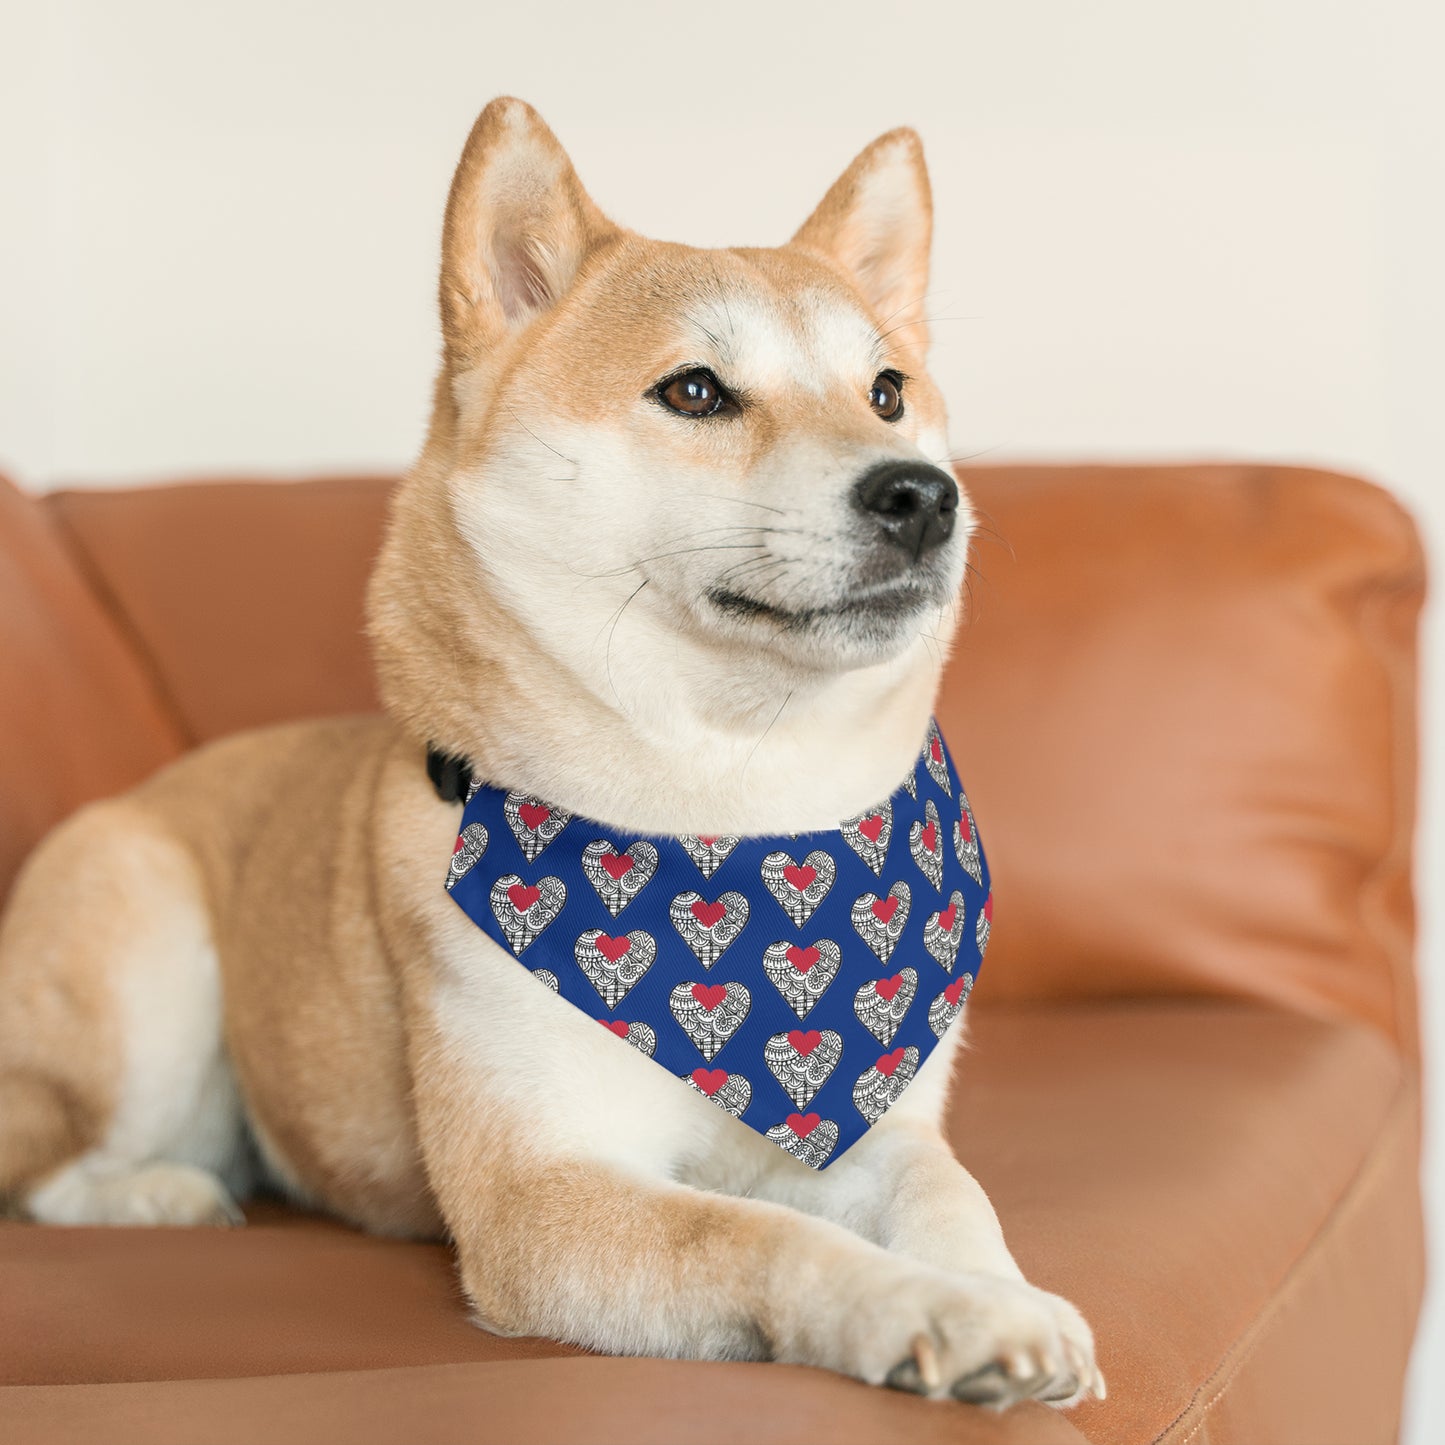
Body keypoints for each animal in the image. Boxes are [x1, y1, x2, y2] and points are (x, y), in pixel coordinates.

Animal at [0, 96, 1098, 1404]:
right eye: (694, 390)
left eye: (886, 390)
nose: (923, 494)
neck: (730, 815)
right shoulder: (540, 1193)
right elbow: (765, 1235)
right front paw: (930, 1308)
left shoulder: (880, 1125)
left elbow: (949, 1193)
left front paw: (1003, 1293)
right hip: (145, 963)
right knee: (48, 1165)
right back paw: (162, 1192)